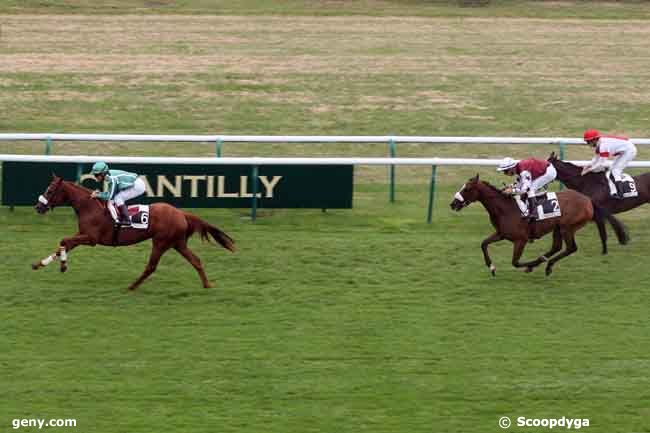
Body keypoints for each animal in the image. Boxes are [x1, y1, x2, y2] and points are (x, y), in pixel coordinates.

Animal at [32, 176, 235, 290]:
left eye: (50, 190)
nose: (38, 207)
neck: (90, 207)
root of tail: (181, 213)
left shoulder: (91, 238)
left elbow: (64, 240)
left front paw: (63, 265)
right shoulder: (82, 234)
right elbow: (64, 243)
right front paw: (39, 264)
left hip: (161, 242)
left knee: (151, 266)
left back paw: (131, 286)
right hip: (177, 243)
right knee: (196, 260)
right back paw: (207, 285)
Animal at [448, 174, 616, 276]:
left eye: (467, 188)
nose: (453, 204)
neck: (505, 208)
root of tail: (587, 199)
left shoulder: (520, 240)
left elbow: (515, 262)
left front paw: (530, 265)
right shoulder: (501, 234)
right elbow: (483, 244)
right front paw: (491, 267)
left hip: (567, 227)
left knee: (571, 248)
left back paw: (546, 265)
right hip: (558, 228)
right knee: (557, 247)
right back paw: (544, 262)